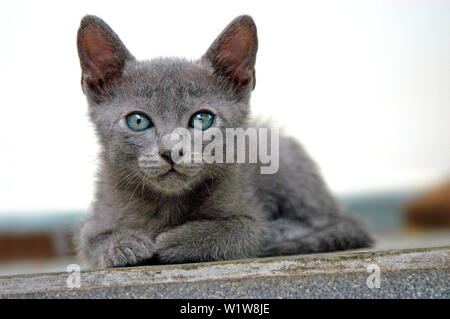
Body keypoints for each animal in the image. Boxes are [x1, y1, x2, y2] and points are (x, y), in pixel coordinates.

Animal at [76, 15, 372, 270]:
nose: (171, 151)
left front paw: (178, 239)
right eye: (137, 121)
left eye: (202, 119)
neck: (170, 203)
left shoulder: (247, 210)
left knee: (333, 221)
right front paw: (125, 244)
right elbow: (94, 240)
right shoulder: (94, 223)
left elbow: (243, 229)